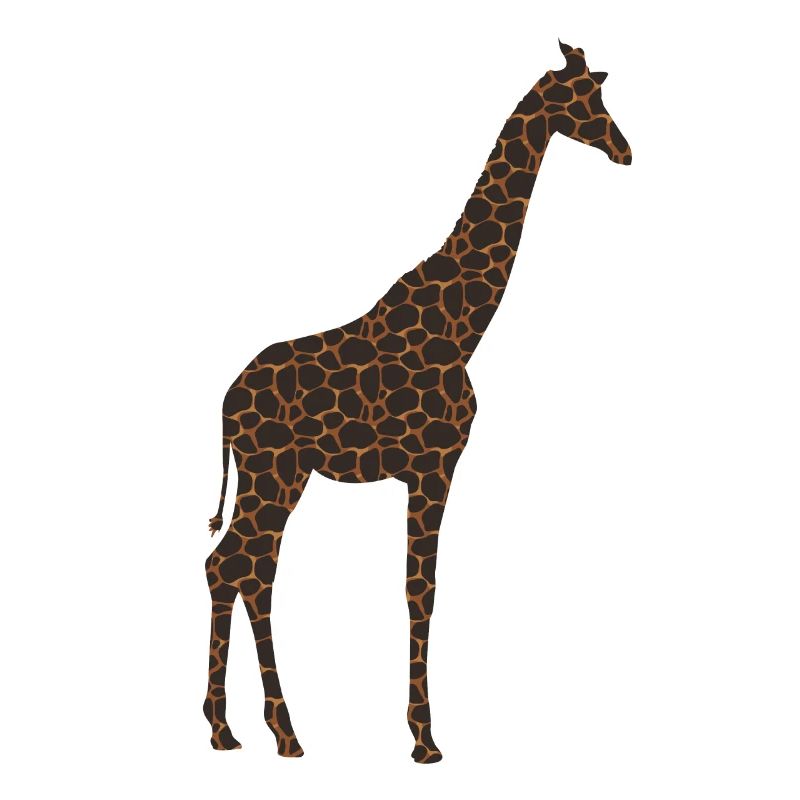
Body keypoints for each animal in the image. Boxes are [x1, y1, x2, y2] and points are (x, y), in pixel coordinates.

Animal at [204, 40, 632, 763]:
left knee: (244, 567)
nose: (624, 149)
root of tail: (225, 404)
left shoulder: (426, 468)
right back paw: (257, 728)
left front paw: (419, 732)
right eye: (586, 102)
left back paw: (249, 730)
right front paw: (426, 739)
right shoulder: (435, 464)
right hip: (272, 471)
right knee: (237, 565)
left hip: (284, 475)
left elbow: (417, 590)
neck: (465, 327)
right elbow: (420, 592)